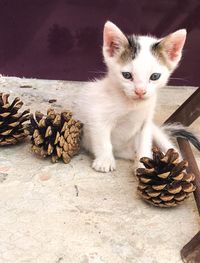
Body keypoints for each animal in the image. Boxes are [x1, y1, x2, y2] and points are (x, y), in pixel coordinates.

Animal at [74, 20, 198, 173]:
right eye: (127, 75)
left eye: (154, 76)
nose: (140, 91)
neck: (132, 104)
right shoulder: (96, 116)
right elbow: (102, 140)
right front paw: (105, 161)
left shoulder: (146, 122)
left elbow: (144, 142)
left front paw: (143, 163)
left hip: (155, 131)